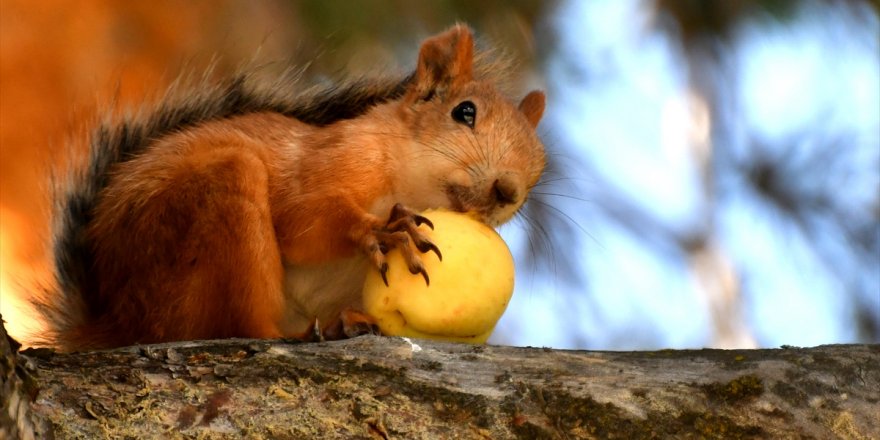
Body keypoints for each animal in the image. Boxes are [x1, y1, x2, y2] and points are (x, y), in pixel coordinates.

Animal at [41, 24, 548, 352]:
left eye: (540, 164)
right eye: (465, 112)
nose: (508, 191)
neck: (413, 185)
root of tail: (114, 321)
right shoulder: (331, 158)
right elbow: (302, 218)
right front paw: (384, 229)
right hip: (211, 204)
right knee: (238, 328)